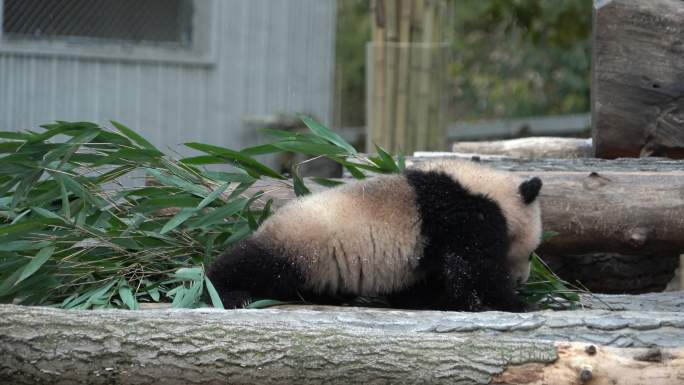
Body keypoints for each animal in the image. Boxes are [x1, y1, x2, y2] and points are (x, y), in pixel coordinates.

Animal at [206, 160, 544, 312]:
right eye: (530, 253)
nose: (524, 279)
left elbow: (429, 282)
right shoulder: (464, 219)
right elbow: (474, 270)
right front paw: (518, 303)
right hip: (300, 244)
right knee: (252, 263)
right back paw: (224, 291)